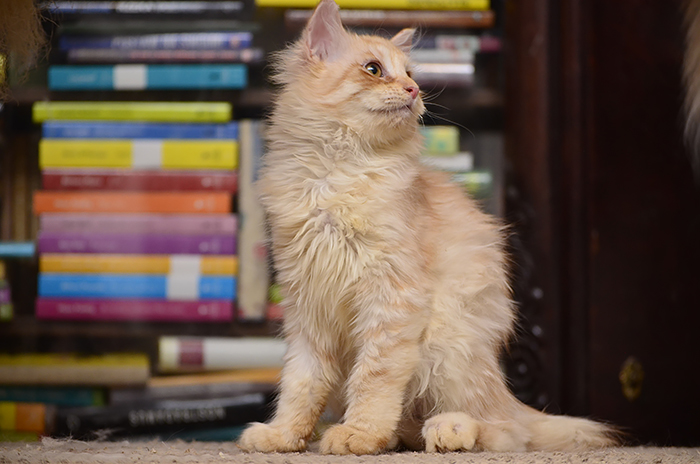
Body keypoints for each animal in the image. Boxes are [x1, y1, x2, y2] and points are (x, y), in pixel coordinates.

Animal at [238, 0, 617, 455]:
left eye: (410, 73)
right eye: (373, 69)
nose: (413, 91)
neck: (336, 176)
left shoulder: (392, 297)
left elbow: (373, 378)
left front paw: (359, 433)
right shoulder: (306, 308)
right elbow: (301, 383)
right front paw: (284, 435)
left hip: (447, 339)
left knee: (504, 430)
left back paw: (448, 431)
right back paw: (397, 437)